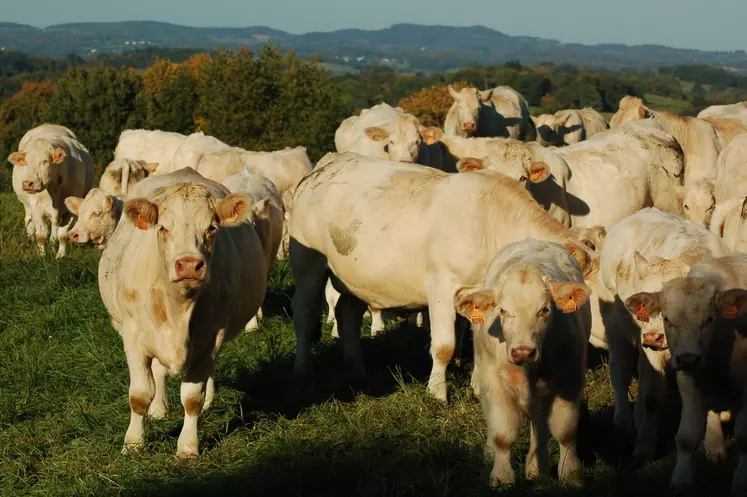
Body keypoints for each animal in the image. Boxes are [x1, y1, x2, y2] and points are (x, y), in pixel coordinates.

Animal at [8, 123, 93, 256]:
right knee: (29, 222)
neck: (54, 190)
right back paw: (30, 241)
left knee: (54, 232)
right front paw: (42, 256)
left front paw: (60, 255)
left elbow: (62, 235)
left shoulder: (69, 209)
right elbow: (41, 235)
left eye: (45, 161)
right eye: (26, 162)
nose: (28, 183)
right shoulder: (36, 206)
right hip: (27, 204)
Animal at [99, 168, 268, 458]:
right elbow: (139, 394)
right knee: (157, 372)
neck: (179, 309)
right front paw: (133, 442)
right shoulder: (134, 338)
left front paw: (188, 446)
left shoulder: (211, 338)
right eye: (163, 228)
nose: (189, 264)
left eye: (211, 229)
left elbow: (191, 398)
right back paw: (159, 408)